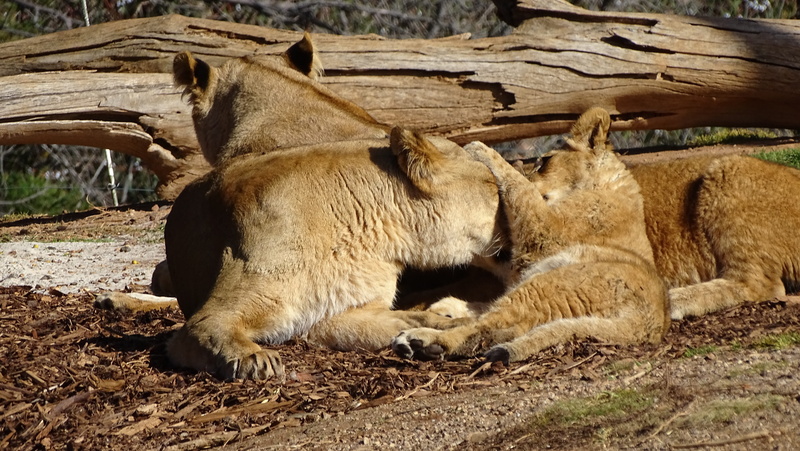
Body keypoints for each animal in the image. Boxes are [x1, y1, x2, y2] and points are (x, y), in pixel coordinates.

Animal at [392, 108, 670, 364]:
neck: (608, 184)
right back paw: (446, 309)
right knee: (501, 322)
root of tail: (651, 324)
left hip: (547, 285)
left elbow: (520, 189)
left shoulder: (545, 230)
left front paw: (481, 149)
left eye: (543, 161)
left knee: (488, 328)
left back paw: (422, 340)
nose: (530, 171)